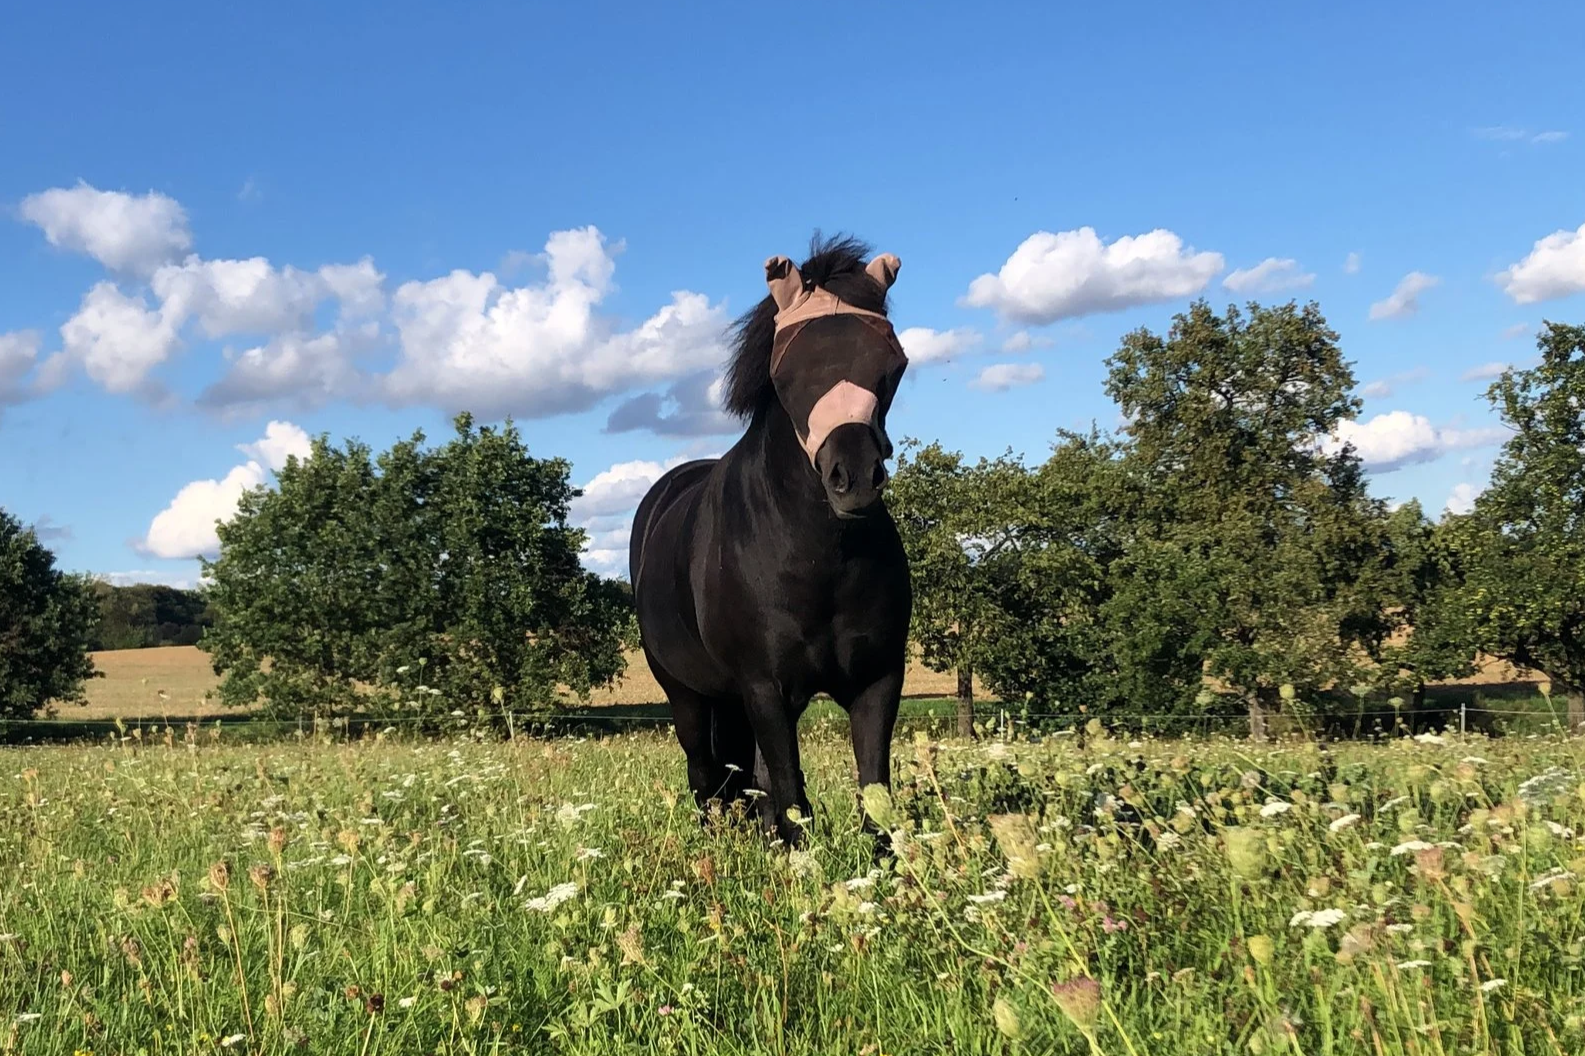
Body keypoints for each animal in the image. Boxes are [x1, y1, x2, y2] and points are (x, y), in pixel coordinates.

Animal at [628, 234, 913, 849]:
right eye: (785, 371)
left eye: (894, 362)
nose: (854, 477)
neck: (817, 557)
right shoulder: (764, 687)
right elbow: (789, 794)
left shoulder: (877, 681)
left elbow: (873, 796)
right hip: (687, 695)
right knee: (705, 771)